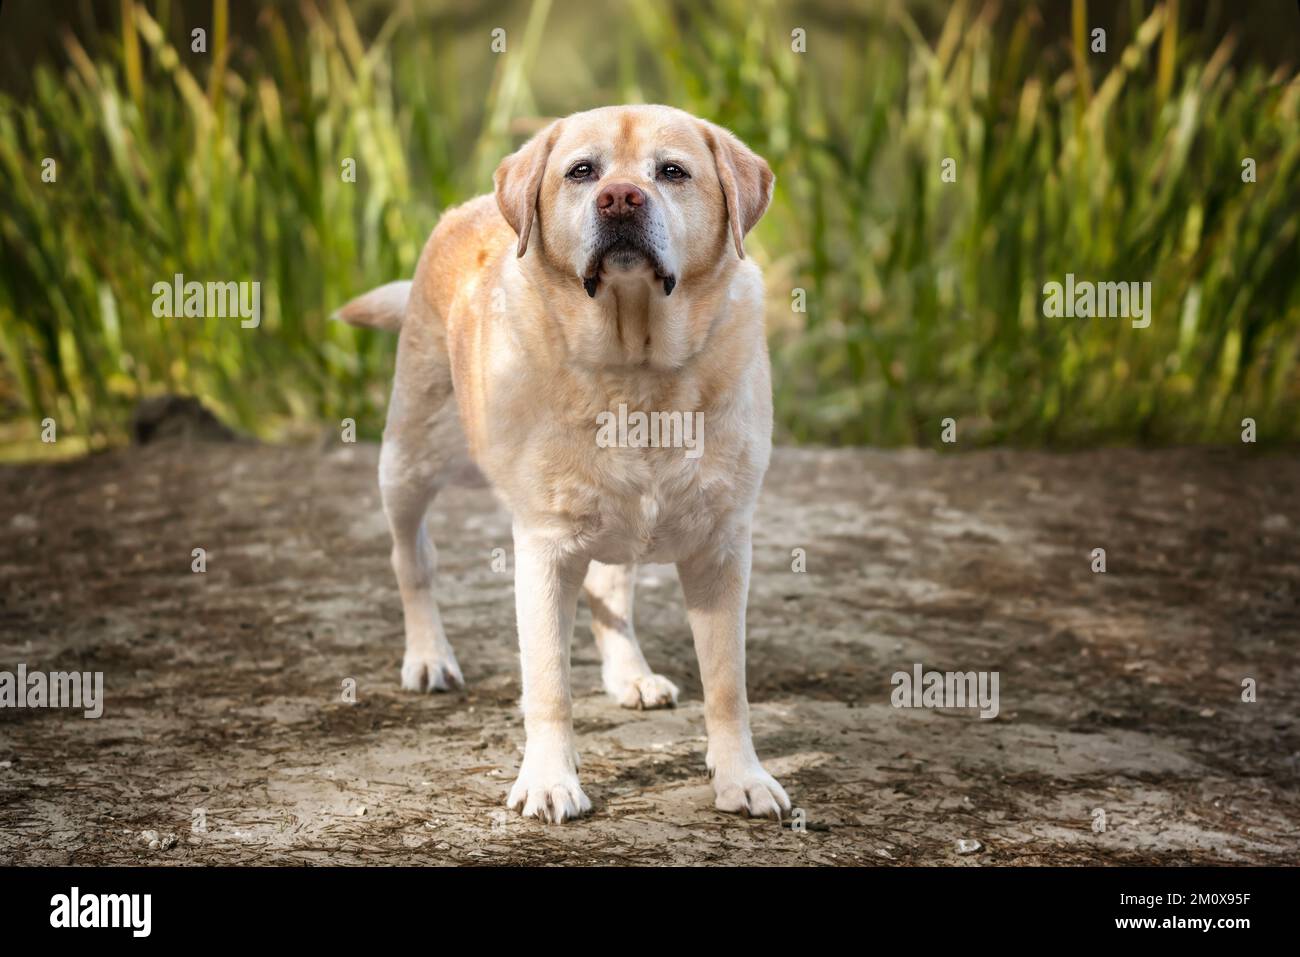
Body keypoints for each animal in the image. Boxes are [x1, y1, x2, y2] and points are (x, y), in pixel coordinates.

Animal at [335, 104, 780, 821]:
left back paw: (630, 674)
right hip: (407, 461)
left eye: (672, 171)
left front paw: (742, 777)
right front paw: (549, 780)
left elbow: (726, 684)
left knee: (611, 589)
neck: (635, 368)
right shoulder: (544, 548)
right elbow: (548, 685)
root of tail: (463, 209)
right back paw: (428, 657)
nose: (621, 198)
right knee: (413, 559)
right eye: (581, 171)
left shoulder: (721, 547)